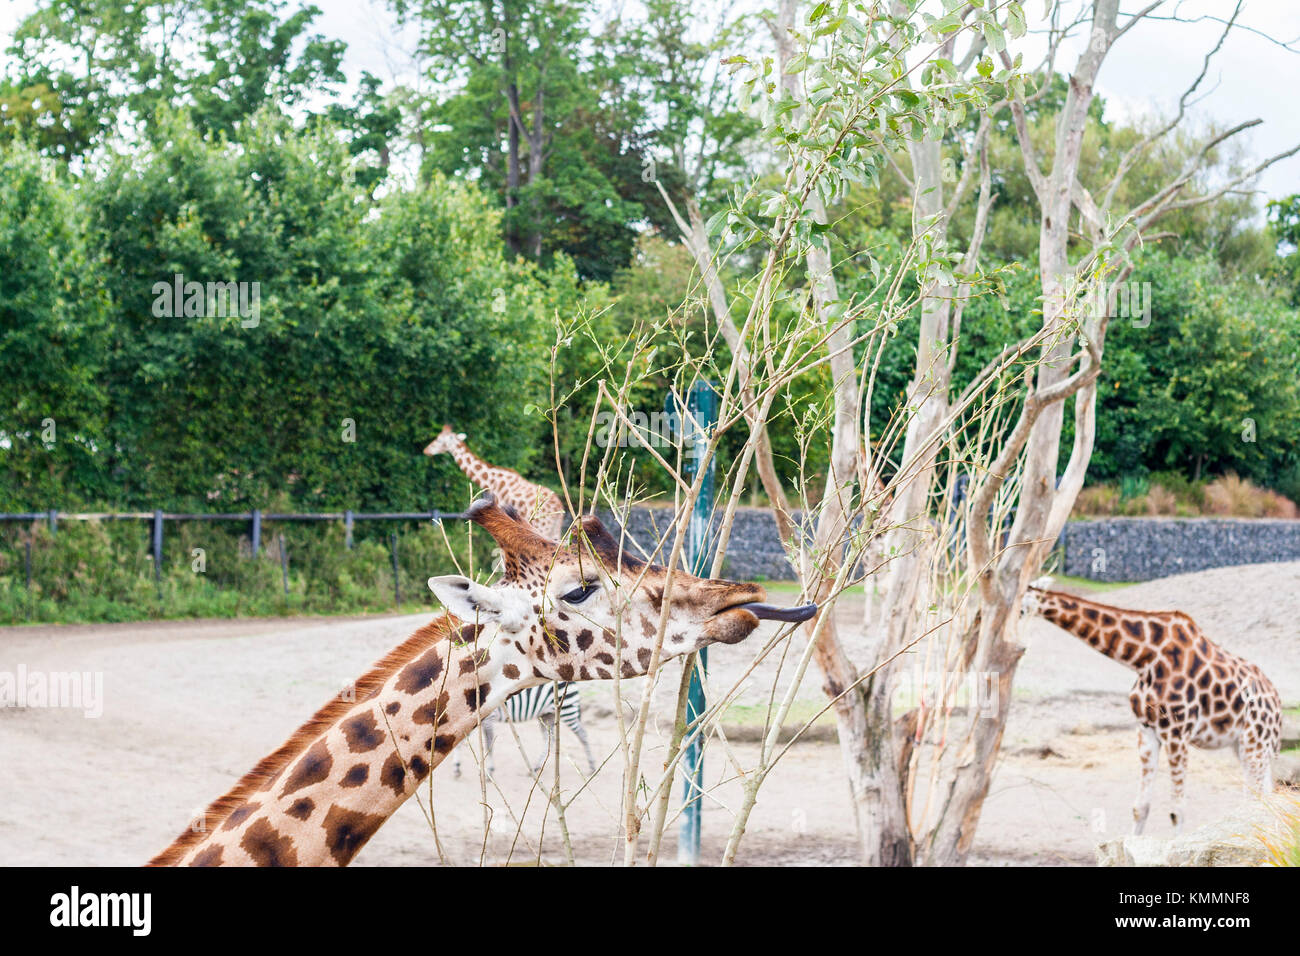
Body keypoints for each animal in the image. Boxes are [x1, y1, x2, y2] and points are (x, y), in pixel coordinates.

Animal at [423, 424, 566, 541]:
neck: (493, 482)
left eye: (439, 439)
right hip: (554, 529)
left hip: (542, 525)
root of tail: (559, 507)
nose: (426, 450)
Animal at [452, 681, 598, 780]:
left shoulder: (488, 718)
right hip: (547, 714)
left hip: (567, 709)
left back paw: (592, 765)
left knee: (582, 734)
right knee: (549, 739)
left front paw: (490, 771)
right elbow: (459, 743)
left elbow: (489, 745)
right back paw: (536, 767)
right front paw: (457, 768)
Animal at [1019, 580, 1284, 832]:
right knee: (1264, 797)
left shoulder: (1177, 734)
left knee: (1257, 799)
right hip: (1245, 746)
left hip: (1254, 744)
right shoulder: (1147, 731)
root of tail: (1277, 703)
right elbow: (1140, 807)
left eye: (1021, 609)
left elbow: (1177, 811)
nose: (1018, 642)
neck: (1144, 658)